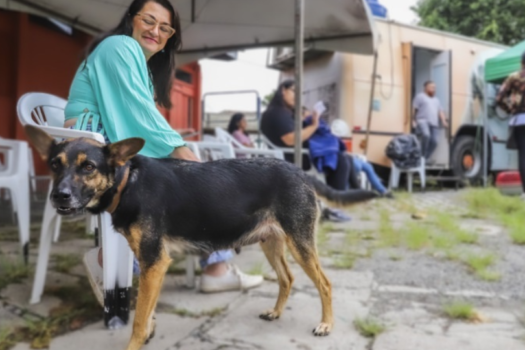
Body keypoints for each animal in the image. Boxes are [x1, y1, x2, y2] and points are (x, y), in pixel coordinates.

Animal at [24, 124, 376, 348]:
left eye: (88, 168)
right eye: (55, 165)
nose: (58, 196)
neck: (127, 181)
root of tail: (300, 171)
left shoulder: (154, 261)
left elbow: (138, 319)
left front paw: (137, 341)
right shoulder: (151, 264)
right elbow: (147, 311)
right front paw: (150, 331)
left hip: (299, 242)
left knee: (324, 283)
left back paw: (326, 324)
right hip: (271, 243)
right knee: (287, 278)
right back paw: (275, 311)